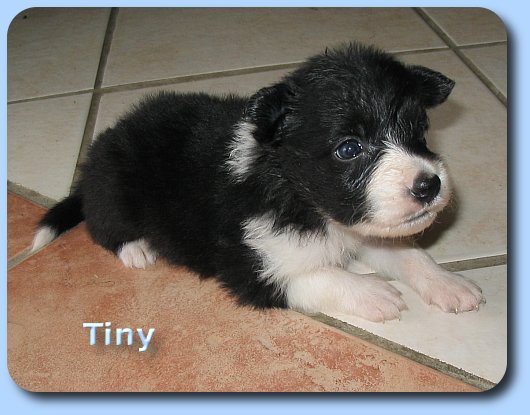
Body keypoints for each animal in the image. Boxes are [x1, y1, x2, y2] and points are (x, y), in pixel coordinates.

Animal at [32, 43, 484, 322]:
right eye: (349, 148)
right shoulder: (250, 266)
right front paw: (374, 293)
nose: (429, 185)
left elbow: (408, 254)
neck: (299, 196)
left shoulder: (362, 224)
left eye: (419, 129)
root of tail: (103, 145)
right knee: (102, 226)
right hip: (115, 189)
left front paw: (451, 284)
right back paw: (137, 249)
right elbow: (314, 276)